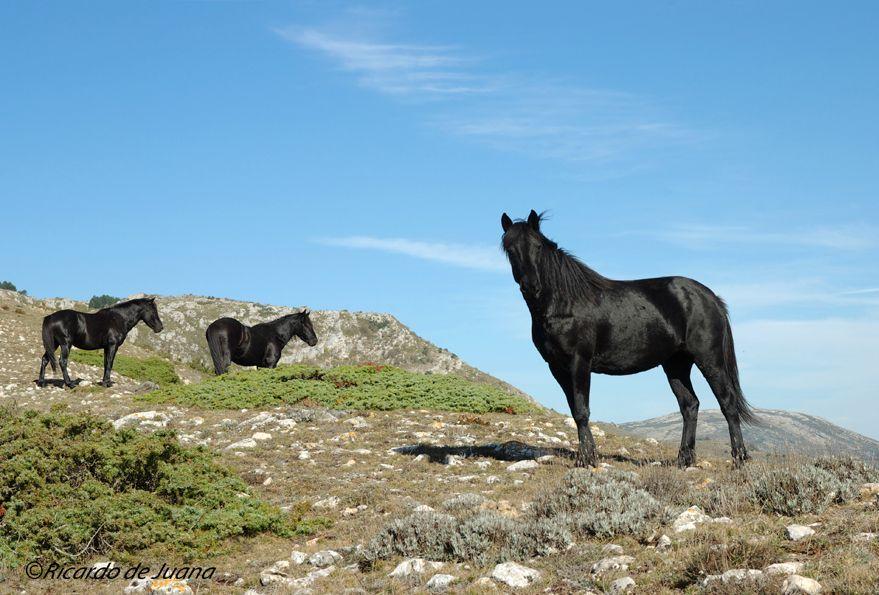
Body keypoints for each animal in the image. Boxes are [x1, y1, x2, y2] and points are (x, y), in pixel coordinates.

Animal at [501, 210, 757, 468]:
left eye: (537, 246)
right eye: (510, 249)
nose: (531, 287)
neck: (564, 303)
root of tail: (712, 298)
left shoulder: (579, 362)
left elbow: (582, 411)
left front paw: (586, 460)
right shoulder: (557, 367)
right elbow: (575, 411)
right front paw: (589, 456)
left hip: (710, 360)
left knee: (727, 404)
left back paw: (739, 459)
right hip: (676, 364)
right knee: (690, 405)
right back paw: (684, 460)